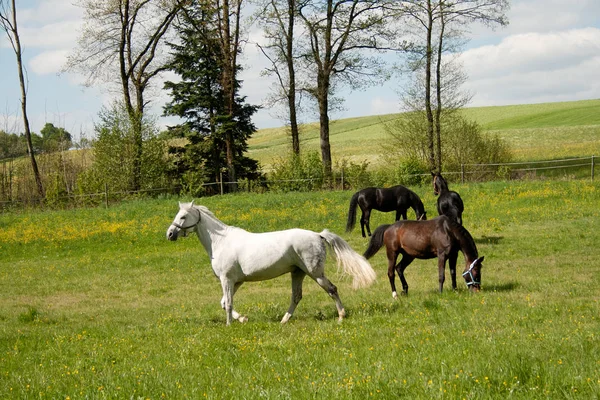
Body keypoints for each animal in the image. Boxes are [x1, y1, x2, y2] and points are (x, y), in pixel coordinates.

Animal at [166, 202, 376, 326]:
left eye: (183, 216)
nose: (169, 234)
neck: (220, 241)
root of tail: (318, 235)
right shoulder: (236, 281)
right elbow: (225, 303)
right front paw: (242, 318)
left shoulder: (226, 279)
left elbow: (228, 303)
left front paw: (229, 325)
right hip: (297, 272)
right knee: (297, 296)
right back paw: (284, 320)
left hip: (315, 273)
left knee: (332, 289)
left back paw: (341, 316)